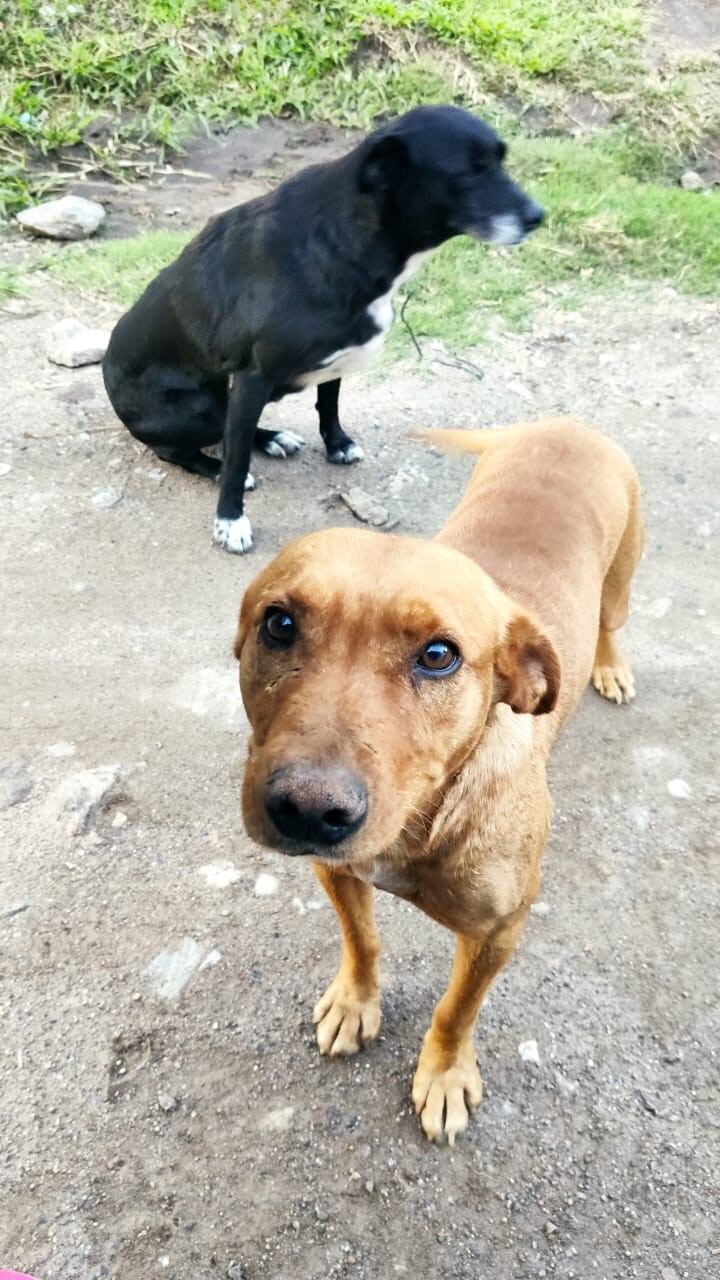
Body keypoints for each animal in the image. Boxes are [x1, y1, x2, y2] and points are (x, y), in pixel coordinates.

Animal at [103, 107, 540, 552]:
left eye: (501, 160)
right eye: (468, 173)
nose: (538, 216)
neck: (346, 240)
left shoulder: (335, 358)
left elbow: (328, 403)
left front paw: (337, 445)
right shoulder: (252, 377)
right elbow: (238, 454)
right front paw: (230, 520)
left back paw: (273, 437)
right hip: (196, 409)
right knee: (184, 451)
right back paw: (220, 464)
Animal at [233, 417, 640, 1141]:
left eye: (439, 656)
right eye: (279, 623)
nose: (307, 810)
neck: (424, 819)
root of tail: (560, 423)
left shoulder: (498, 934)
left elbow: (456, 1009)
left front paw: (445, 1074)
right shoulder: (335, 872)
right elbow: (362, 941)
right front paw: (355, 1001)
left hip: (620, 582)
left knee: (610, 623)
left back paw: (610, 665)